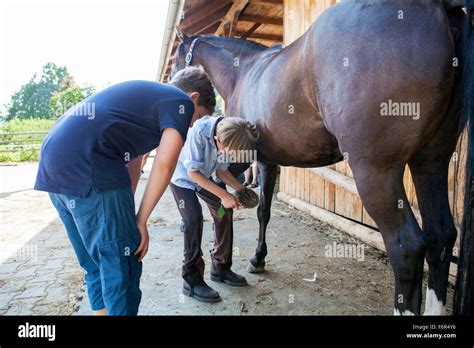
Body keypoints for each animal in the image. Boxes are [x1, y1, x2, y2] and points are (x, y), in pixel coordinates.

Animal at [169, 0, 470, 316]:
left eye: (177, 59)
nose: (172, 88)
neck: (245, 72)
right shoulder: (268, 162)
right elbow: (263, 211)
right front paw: (257, 259)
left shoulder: (242, 157)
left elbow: (225, 196)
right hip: (431, 163)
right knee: (441, 236)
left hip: (377, 172)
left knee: (406, 247)